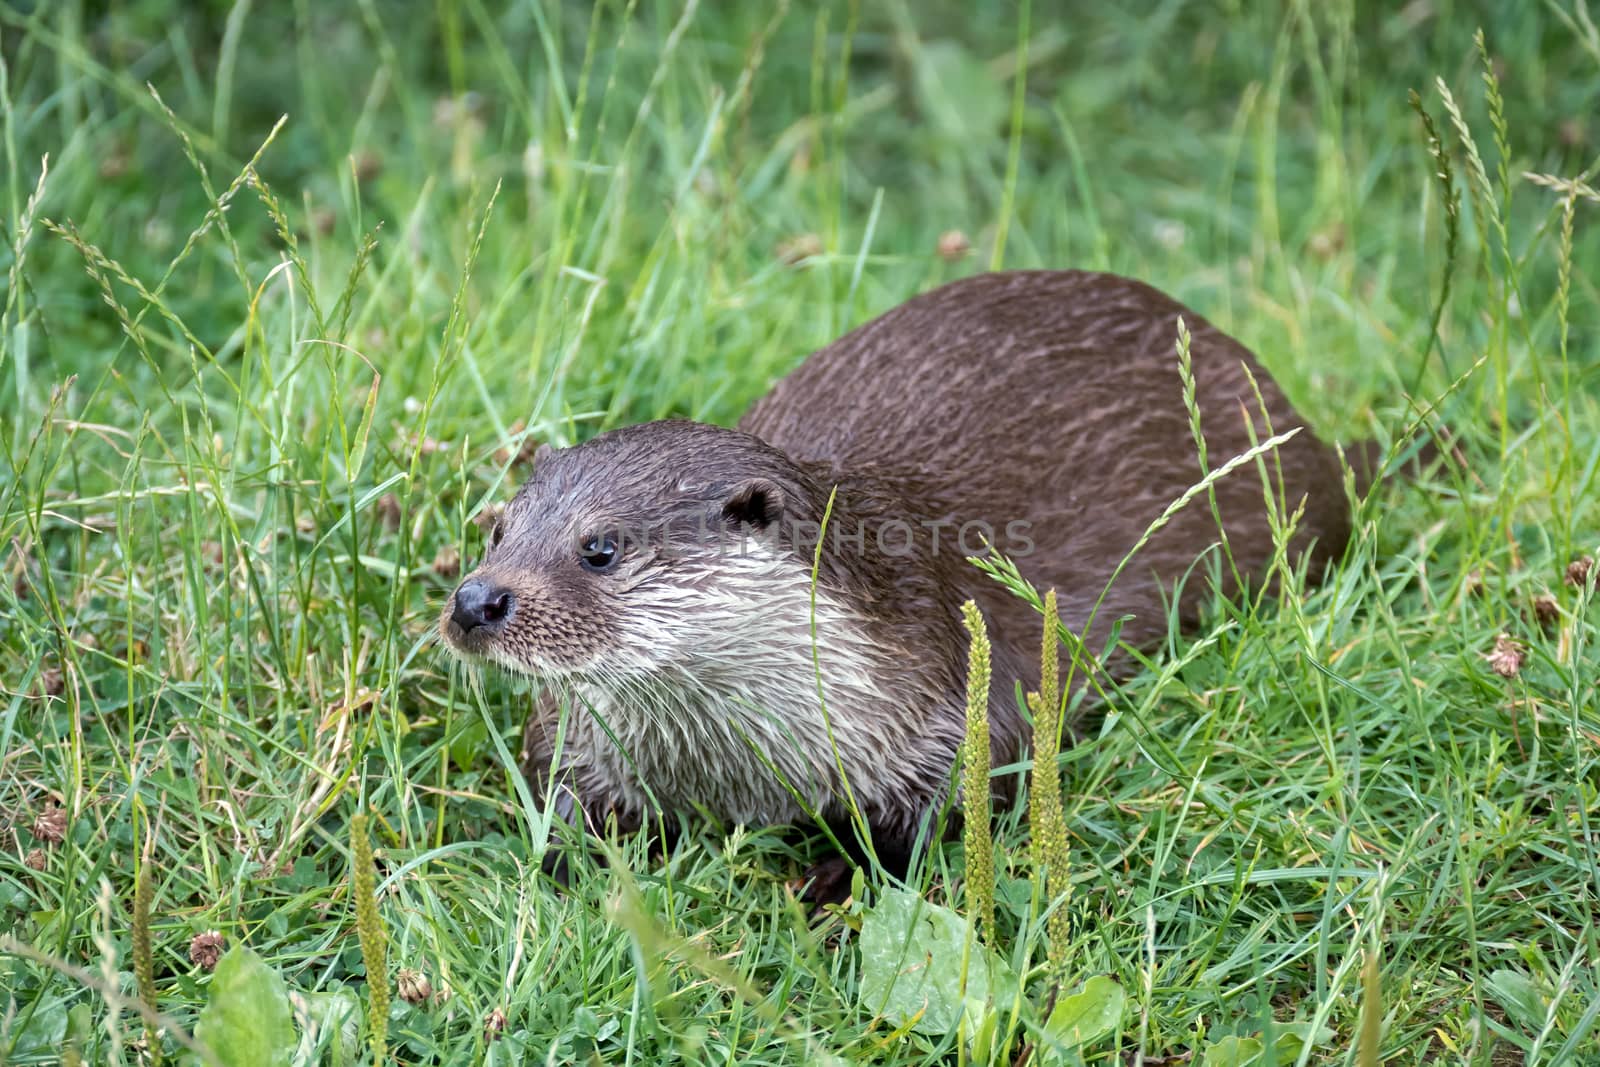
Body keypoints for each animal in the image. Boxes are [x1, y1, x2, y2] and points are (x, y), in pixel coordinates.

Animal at [441, 271, 1363, 895]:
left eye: (600, 546)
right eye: (498, 529)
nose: (476, 601)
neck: (742, 773)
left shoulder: (954, 704)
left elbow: (939, 817)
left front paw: (831, 886)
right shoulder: (580, 739)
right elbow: (558, 801)